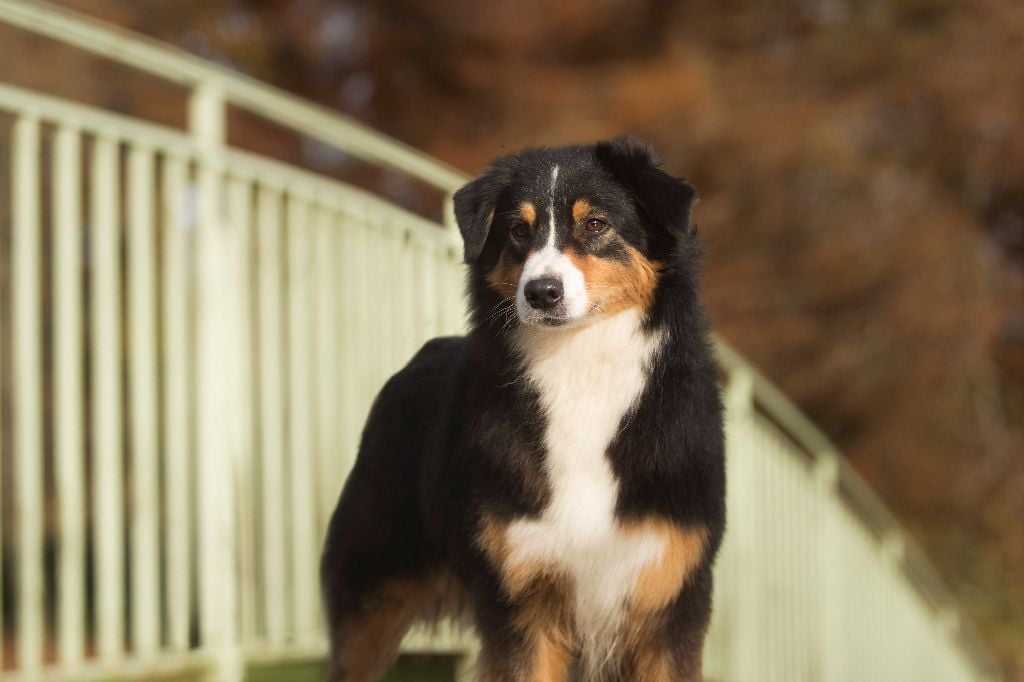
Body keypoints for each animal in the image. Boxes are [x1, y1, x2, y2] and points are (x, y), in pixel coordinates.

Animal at [319, 135, 729, 675]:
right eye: (518, 229)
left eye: (595, 224)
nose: (541, 292)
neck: (579, 366)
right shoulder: (520, 599)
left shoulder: (670, 595)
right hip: (370, 602)